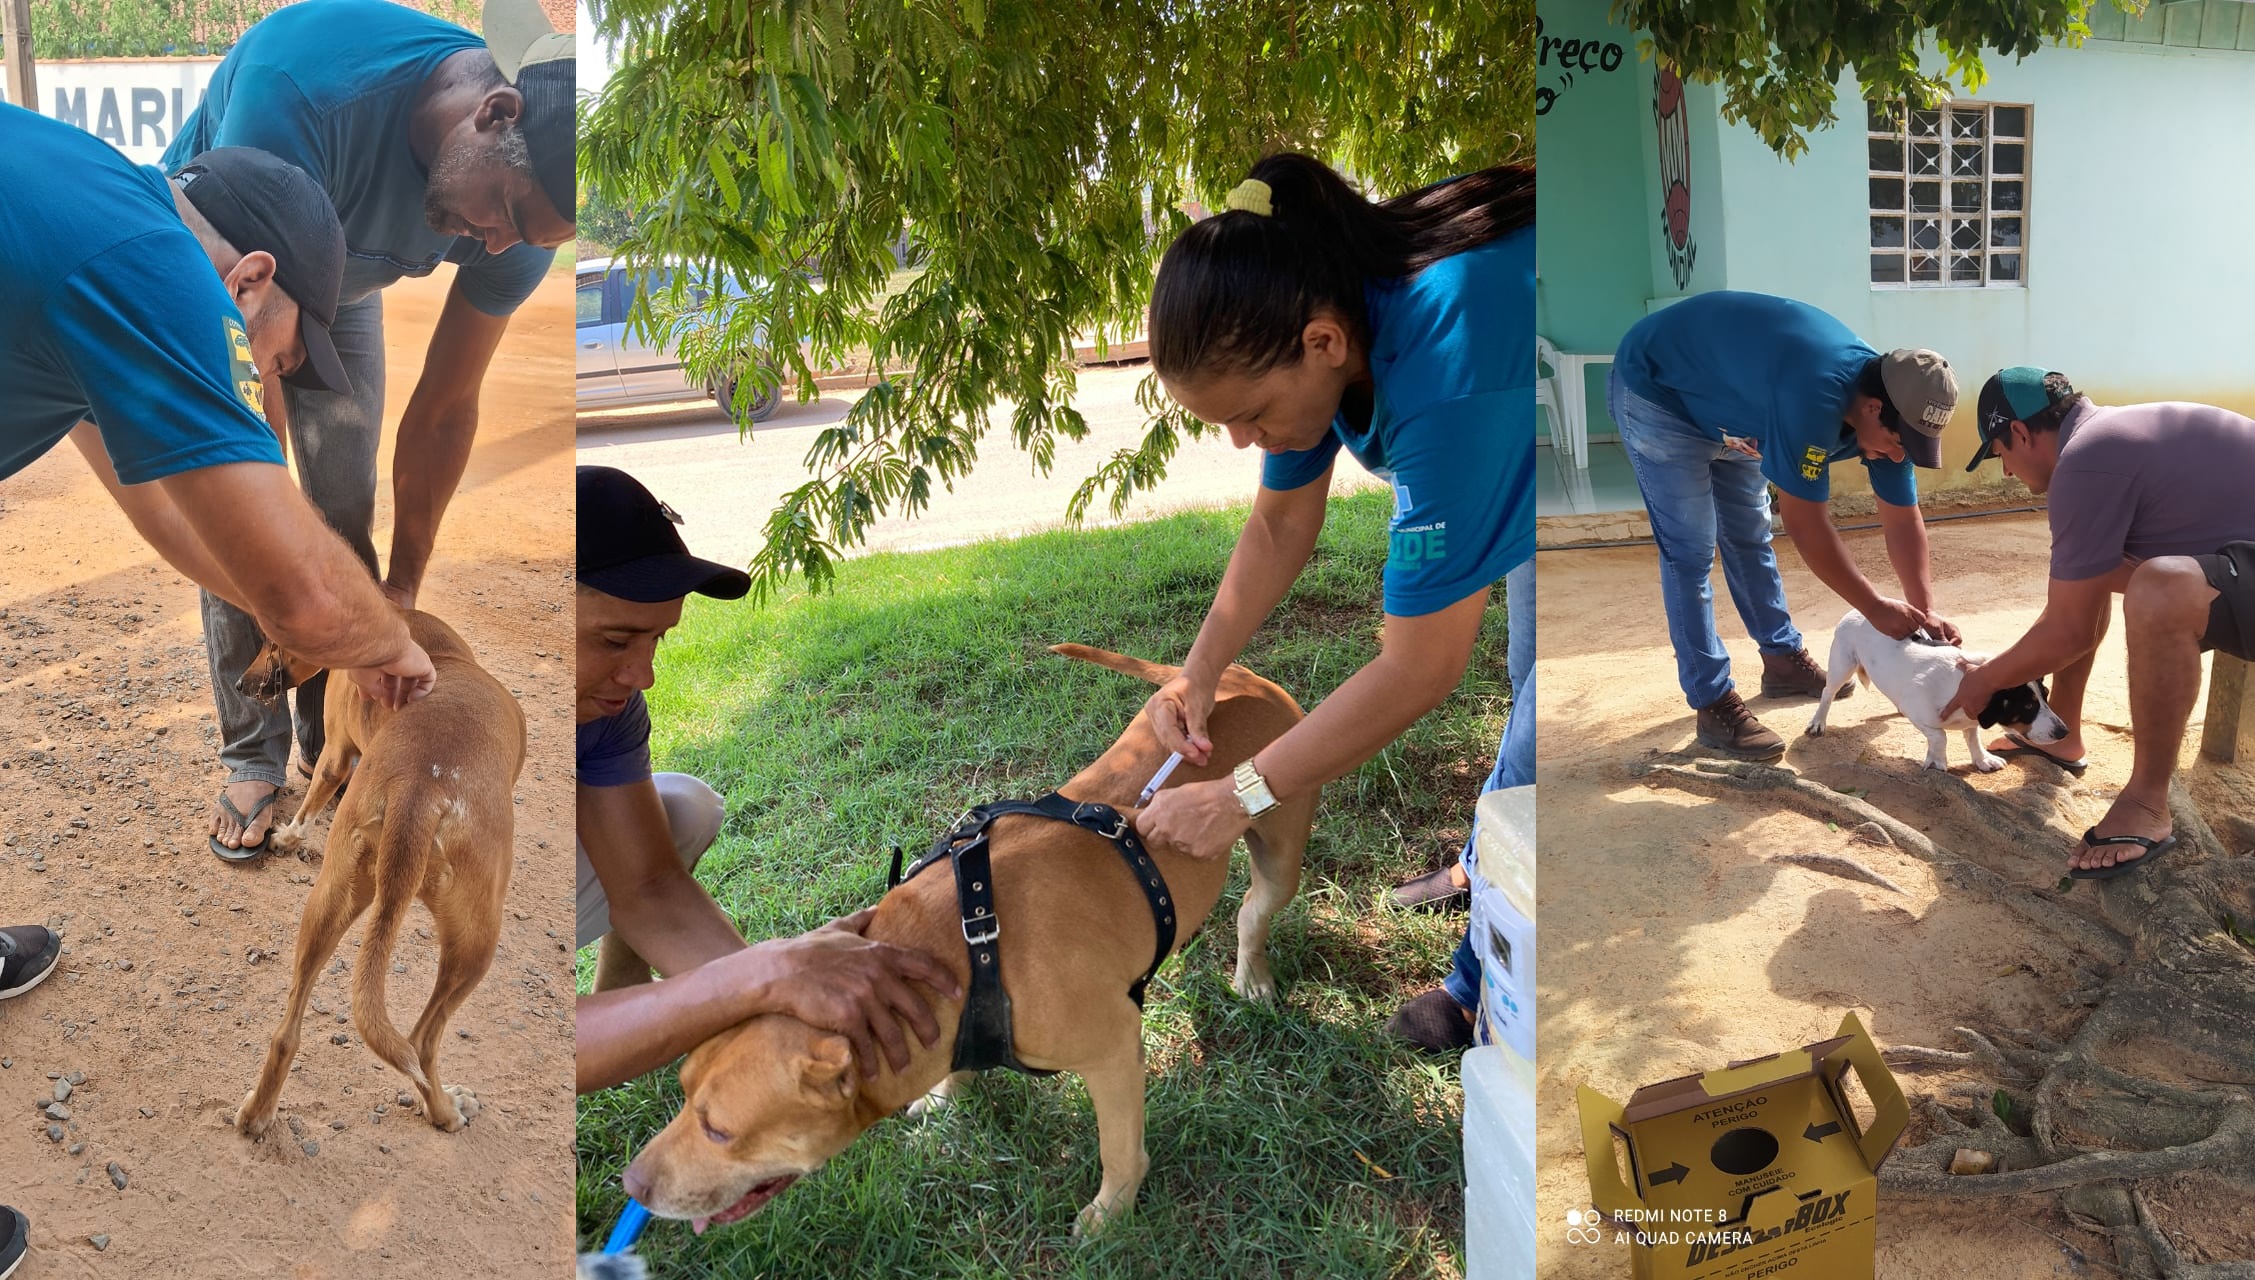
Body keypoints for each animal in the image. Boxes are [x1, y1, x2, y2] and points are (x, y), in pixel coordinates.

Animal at [231, 608, 525, 1140]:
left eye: (269, 641)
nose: (241, 684)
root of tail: (418, 791)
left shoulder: (336, 752)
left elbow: (313, 796)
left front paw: (286, 839)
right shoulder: (336, 754)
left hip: (330, 899)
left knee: (286, 1032)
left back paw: (257, 1113)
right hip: (477, 941)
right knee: (422, 1042)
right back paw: (447, 1111)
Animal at [622, 644, 1316, 1234]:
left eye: (718, 1131)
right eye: (682, 1089)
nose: (631, 1184)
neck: (970, 946)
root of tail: (1237, 678)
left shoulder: (1115, 1051)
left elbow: (1120, 1149)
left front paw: (1111, 1211)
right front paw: (945, 1096)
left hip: (1280, 851)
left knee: (1253, 911)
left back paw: (1251, 974)